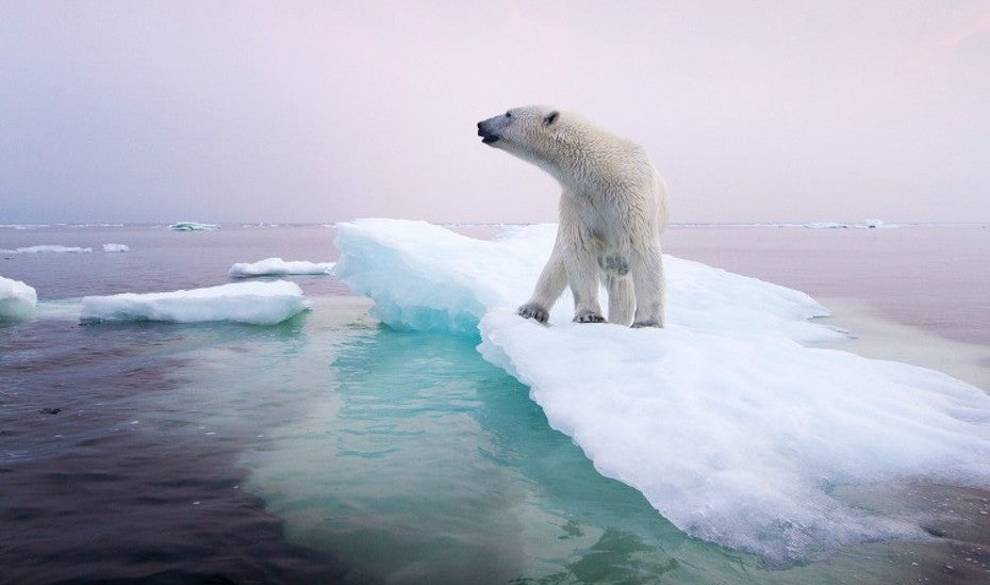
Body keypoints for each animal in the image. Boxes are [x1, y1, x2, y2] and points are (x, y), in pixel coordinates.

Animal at [478, 104, 672, 324]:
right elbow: (579, 248)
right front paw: (589, 315)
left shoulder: (630, 197)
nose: (481, 124)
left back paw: (618, 320)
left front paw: (648, 322)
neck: (601, 172)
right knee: (558, 262)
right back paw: (532, 309)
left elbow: (641, 247)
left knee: (622, 288)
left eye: (508, 114)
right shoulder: (577, 202)